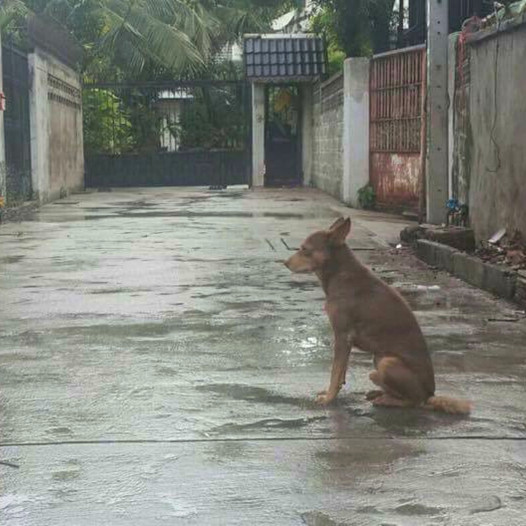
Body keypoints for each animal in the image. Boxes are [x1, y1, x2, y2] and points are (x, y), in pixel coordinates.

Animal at [286, 217, 472, 414]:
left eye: (305, 249)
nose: (285, 263)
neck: (339, 273)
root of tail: (430, 395)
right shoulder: (345, 341)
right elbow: (341, 371)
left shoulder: (342, 336)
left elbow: (335, 372)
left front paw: (329, 398)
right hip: (378, 358)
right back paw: (378, 393)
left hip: (386, 363)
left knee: (413, 402)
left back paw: (385, 400)